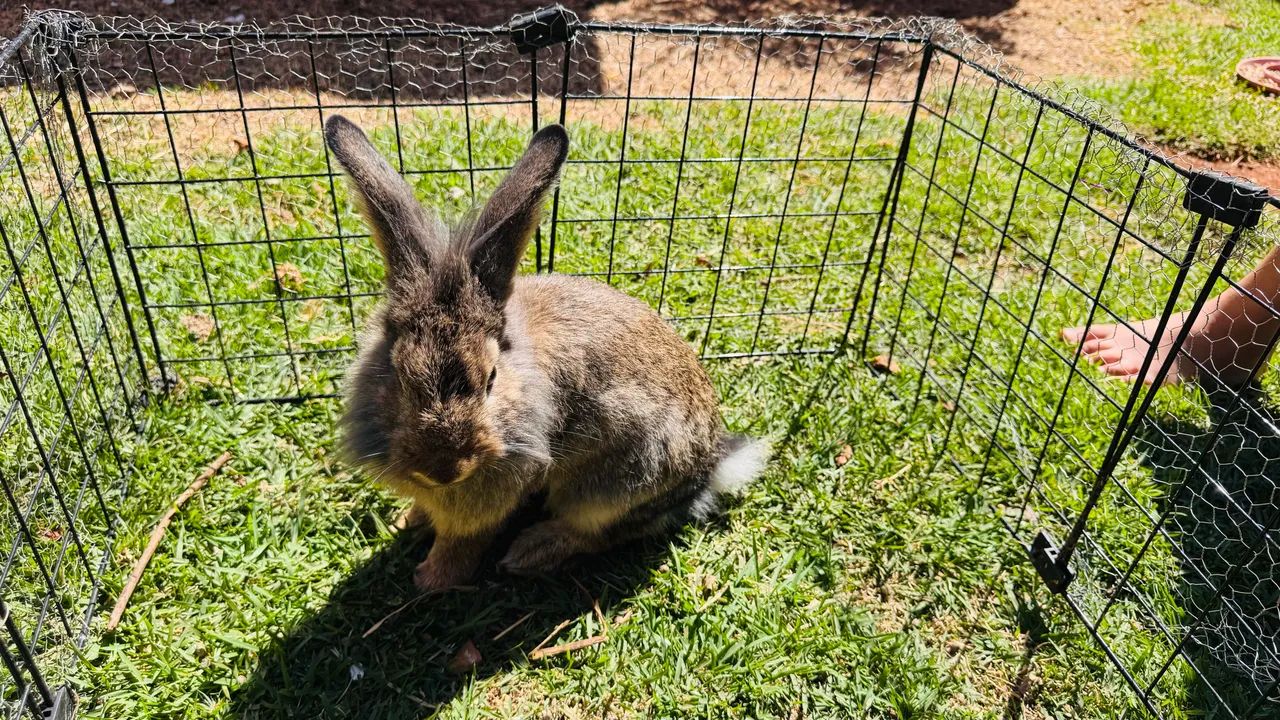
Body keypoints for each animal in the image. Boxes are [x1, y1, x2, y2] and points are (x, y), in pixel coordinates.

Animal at [326, 115, 768, 592]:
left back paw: (531, 551)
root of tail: (709, 468)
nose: (445, 468)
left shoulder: (491, 492)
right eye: (399, 375)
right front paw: (405, 523)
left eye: (491, 379)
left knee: (601, 530)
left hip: (615, 484)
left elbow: (462, 539)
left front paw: (431, 578)